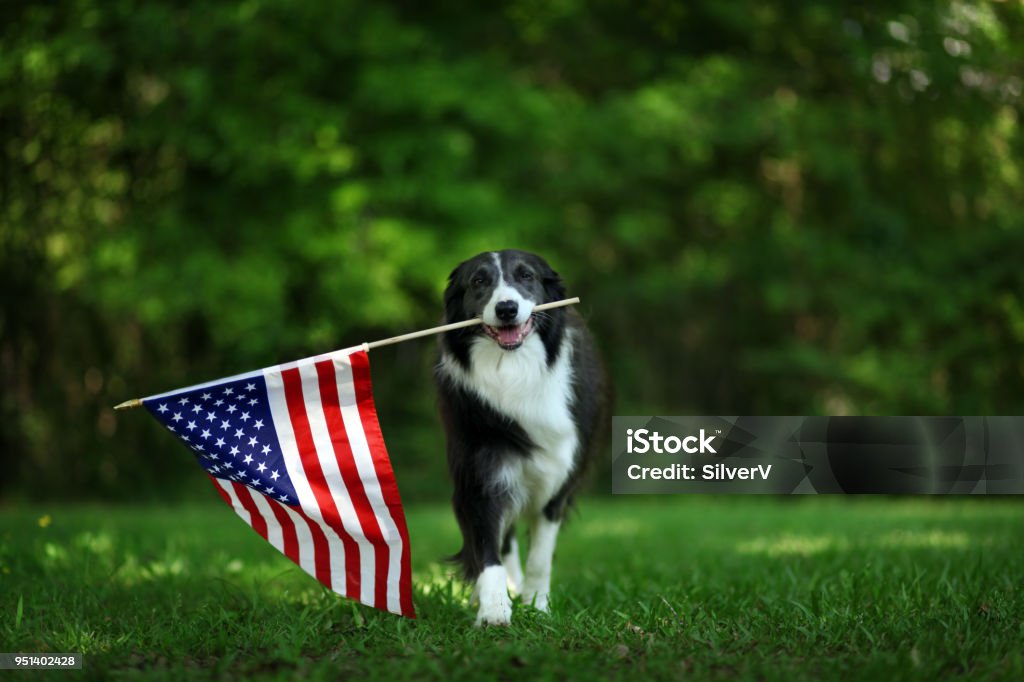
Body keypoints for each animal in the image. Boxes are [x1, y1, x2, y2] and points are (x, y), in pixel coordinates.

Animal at [434, 248, 606, 622]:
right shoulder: (480, 474)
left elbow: (540, 555)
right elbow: (488, 549)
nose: (506, 309)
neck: (513, 370)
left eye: (526, 276)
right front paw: (494, 609)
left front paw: (537, 605)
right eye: (478, 281)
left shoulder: (558, 477)